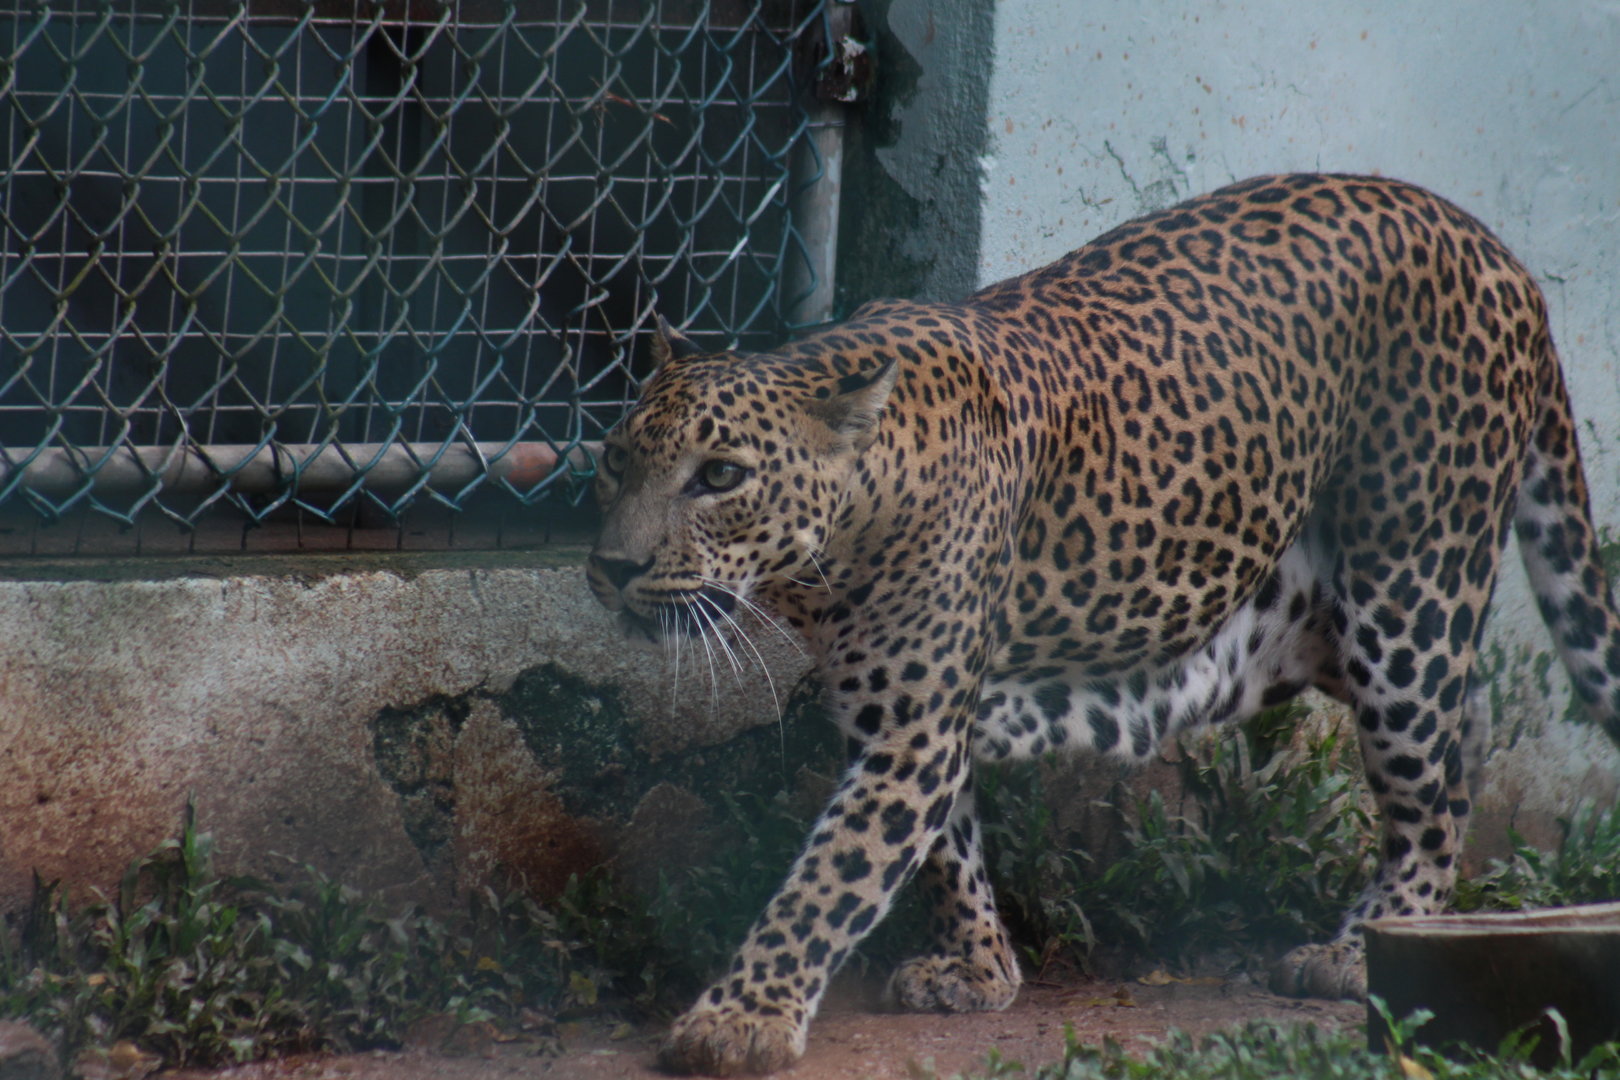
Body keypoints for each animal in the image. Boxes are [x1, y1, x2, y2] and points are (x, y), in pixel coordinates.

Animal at [585, 173, 1620, 1075]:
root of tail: (1495, 248)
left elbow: (828, 878)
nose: (609, 568)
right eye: (614, 459)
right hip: (1319, 615)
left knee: (1427, 789)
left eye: (721, 477)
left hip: (1409, 589)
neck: (828, 557)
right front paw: (981, 968)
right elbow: (945, 851)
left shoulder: (911, 732)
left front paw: (740, 1019)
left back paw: (1366, 941)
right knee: (1462, 738)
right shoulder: (898, 714)